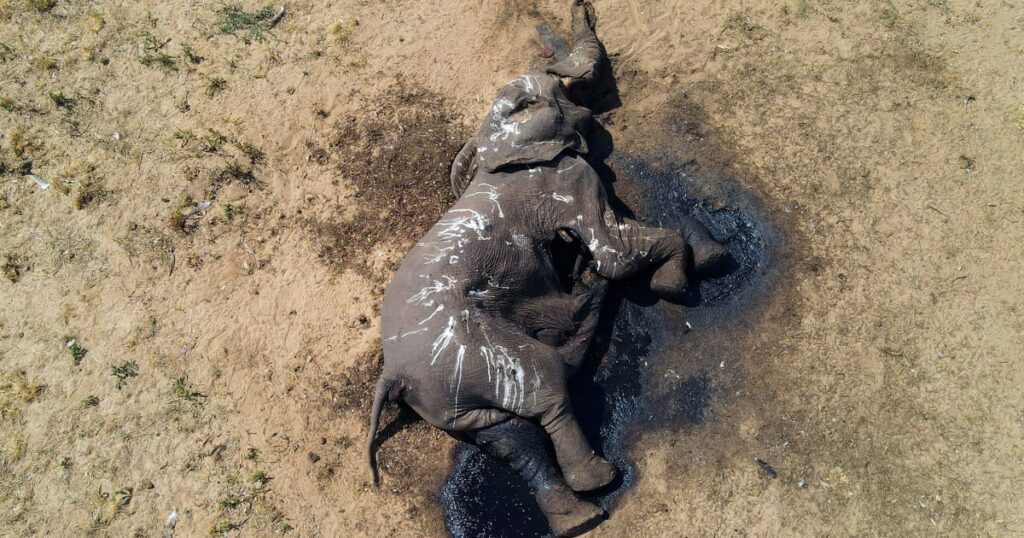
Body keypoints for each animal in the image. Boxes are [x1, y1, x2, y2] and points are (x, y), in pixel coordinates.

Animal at [366, 2, 728, 535]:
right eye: (554, 89)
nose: (584, 8)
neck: (490, 143)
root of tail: (394, 374)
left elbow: (620, 236)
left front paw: (706, 258)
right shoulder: (563, 180)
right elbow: (613, 252)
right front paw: (678, 284)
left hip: (446, 393)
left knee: (507, 434)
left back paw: (577, 516)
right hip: (474, 350)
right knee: (544, 382)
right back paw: (597, 483)